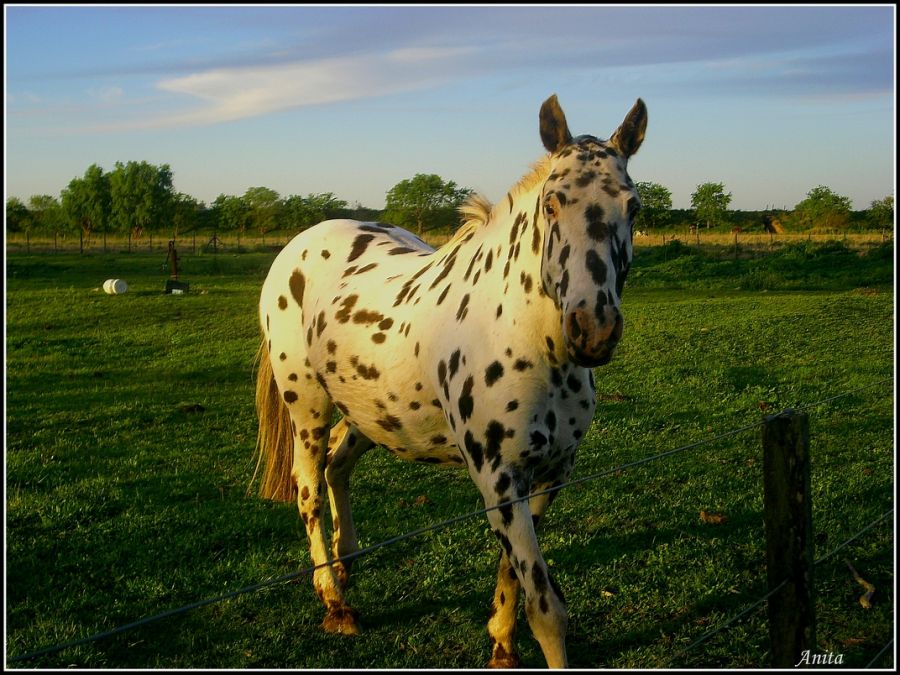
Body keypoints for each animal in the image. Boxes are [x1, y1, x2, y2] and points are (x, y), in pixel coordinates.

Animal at [253, 95, 648, 672]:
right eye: (552, 204)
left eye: (633, 208)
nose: (592, 329)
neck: (531, 339)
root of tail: (299, 245)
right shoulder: (498, 475)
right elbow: (547, 609)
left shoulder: (550, 473)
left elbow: (514, 571)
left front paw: (501, 641)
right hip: (307, 407)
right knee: (308, 490)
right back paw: (334, 601)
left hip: (371, 415)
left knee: (336, 468)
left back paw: (349, 562)